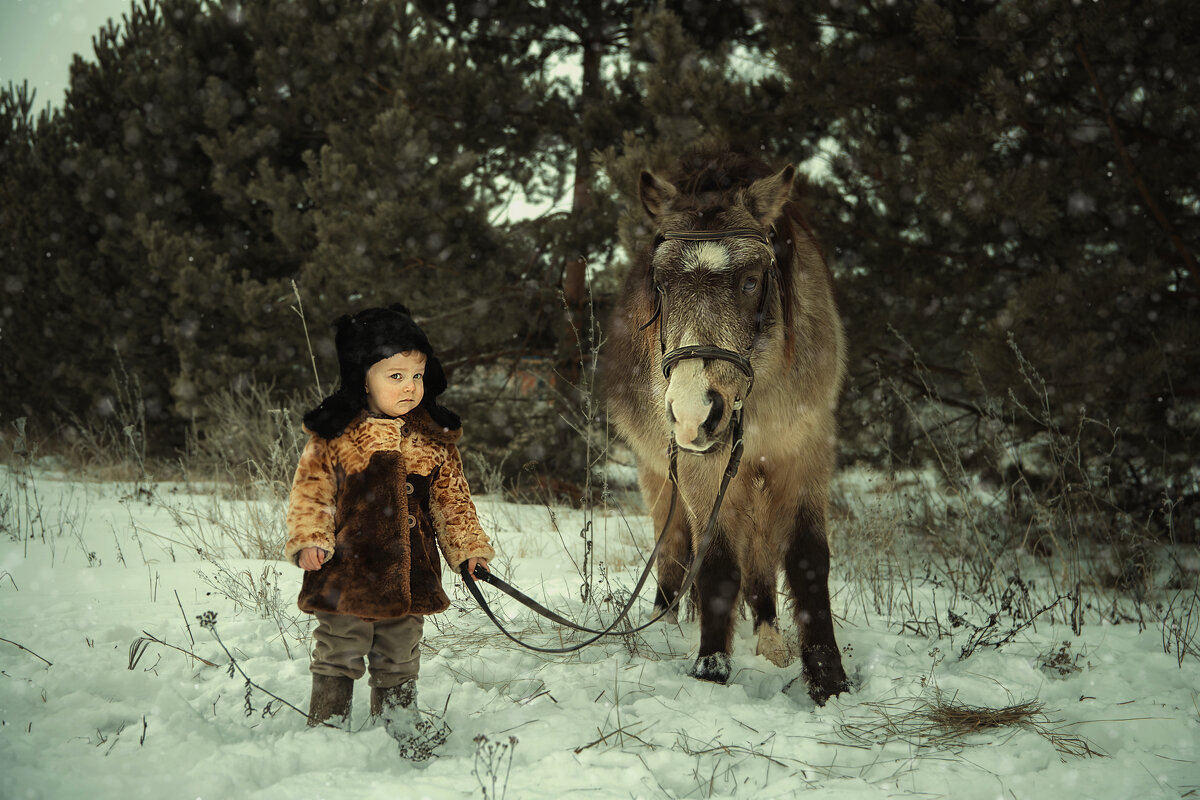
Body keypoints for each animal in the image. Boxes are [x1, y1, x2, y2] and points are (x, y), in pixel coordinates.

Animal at [604, 146, 849, 705]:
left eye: (751, 280)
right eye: (662, 284)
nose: (694, 413)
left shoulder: (804, 454)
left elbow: (807, 561)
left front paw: (827, 678)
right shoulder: (702, 471)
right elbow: (714, 567)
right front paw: (711, 668)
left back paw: (770, 641)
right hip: (660, 476)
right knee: (675, 552)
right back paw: (666, 626)